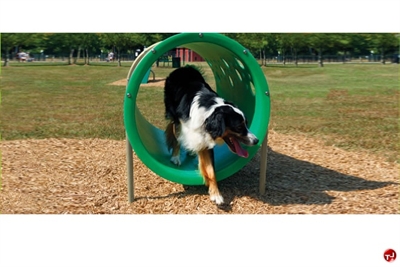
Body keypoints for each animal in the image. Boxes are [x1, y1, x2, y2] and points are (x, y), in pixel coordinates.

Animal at [163, 65, 260, 205]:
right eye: (239, 127)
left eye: (246, 123)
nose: (256, 141)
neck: (209, 111)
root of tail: (184, 68)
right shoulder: (184, 125)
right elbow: (178, 139)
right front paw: (176, 156)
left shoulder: (205, 140)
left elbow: (210, 171)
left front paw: (216, 194)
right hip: (173, 115)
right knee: (175, 134)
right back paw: (176, 156)